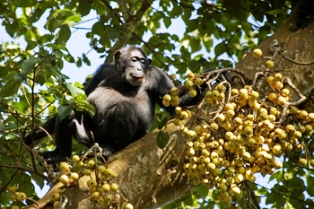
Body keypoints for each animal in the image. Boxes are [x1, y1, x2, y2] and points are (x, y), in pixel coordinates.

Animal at [24, 45, 200, 163]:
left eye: (143, 62)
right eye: (134, 60)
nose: (138, 68)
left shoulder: (158, 76)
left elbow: (175, 103)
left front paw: (202, 88)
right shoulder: (102, 71)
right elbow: (84, 97)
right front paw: (31, 137)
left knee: (124, 109)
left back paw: (110, 148)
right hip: (90, 138)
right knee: (70, 110)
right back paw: (60, 155)